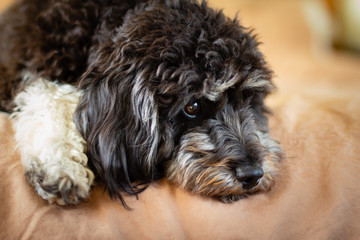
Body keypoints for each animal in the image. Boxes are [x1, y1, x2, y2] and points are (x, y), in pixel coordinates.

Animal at [0, 0, 282, 206]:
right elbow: (48, 97)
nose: (252, 174)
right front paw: (59, 168)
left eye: (248, 99)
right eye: (192, 107)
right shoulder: (25, 72)